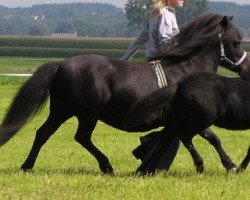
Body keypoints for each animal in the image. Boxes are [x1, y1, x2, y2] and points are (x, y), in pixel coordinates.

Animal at [0, 14, 247, 173]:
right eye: (236, 42)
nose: (246, 67)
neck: (186, 70)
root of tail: (61, 64)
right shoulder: (192, 117)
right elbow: (210, 138)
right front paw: (229, 165)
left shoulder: (179, 120)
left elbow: (169, 141)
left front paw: (145, 166)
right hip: (87, 114)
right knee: (81, 137)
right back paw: (106, 166)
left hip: (62, 111)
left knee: (43, 133)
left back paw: (27, 166)